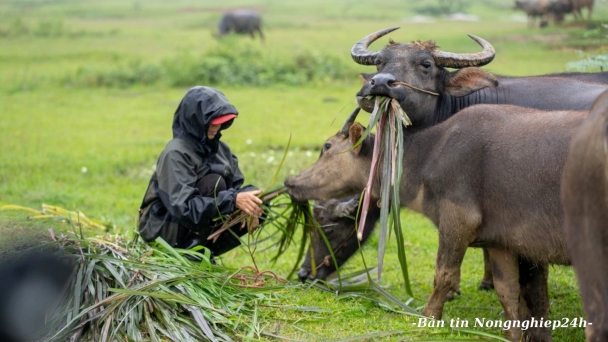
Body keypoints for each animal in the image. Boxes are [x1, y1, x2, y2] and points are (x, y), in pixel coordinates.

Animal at [286, 105, 588, 342]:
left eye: (326, 147)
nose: (290, 182)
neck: (431, 156)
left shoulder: (457, 221)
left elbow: (444, 274)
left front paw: (429, 315)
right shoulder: (501, 242)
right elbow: (509, 290)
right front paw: (511, 334)